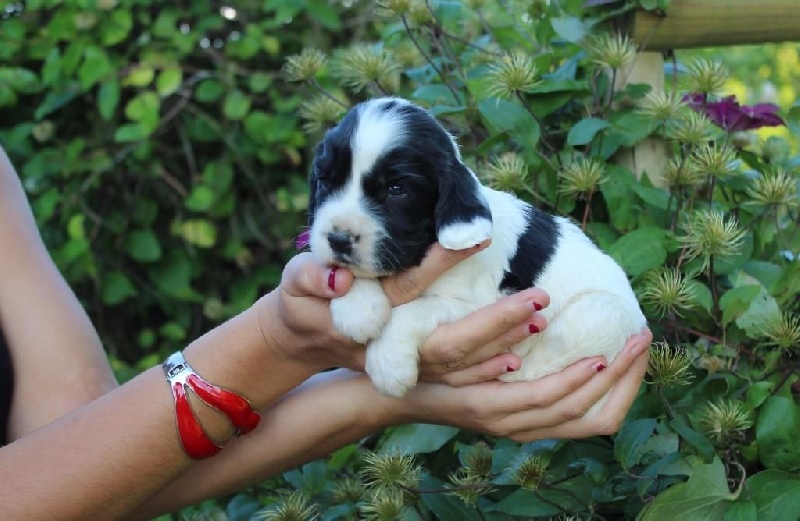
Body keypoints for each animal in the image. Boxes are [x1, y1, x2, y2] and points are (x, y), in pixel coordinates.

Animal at [310, 96, 648, 414]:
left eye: (396, 190)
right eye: (326, 181)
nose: (338, 239)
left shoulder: (475, 305)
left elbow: (411, 310)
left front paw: (388, 364)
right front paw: (357, 307)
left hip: (601, 313)